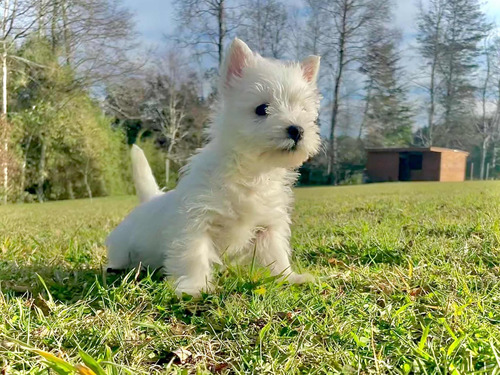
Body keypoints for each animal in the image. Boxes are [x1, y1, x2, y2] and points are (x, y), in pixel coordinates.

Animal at [107, 38, 322, 296]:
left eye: (303, 109)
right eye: (261, 108)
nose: (297, 130)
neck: (250, 173)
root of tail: (150, 199)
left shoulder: (268, 227)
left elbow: (276, 255)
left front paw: (289, 278)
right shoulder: (196, 222)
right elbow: (194, 255)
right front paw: (194, 287)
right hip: (122, 246)